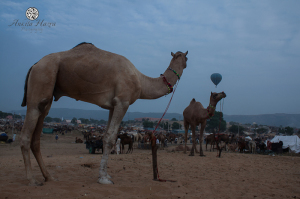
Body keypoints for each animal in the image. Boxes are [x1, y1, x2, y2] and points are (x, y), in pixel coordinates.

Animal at [19, 42, 188, 185]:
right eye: (185, 56)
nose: (186, 62)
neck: (141, 81)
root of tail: (35, 65)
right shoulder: (122, 102)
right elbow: (110, 138)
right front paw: (103, 178)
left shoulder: (112, 105)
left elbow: (107, 135)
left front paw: (105, 174)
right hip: (42, 78)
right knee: (26, 134)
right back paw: (31, 180)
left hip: (47, 95)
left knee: (36, 136)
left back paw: (49, 176)